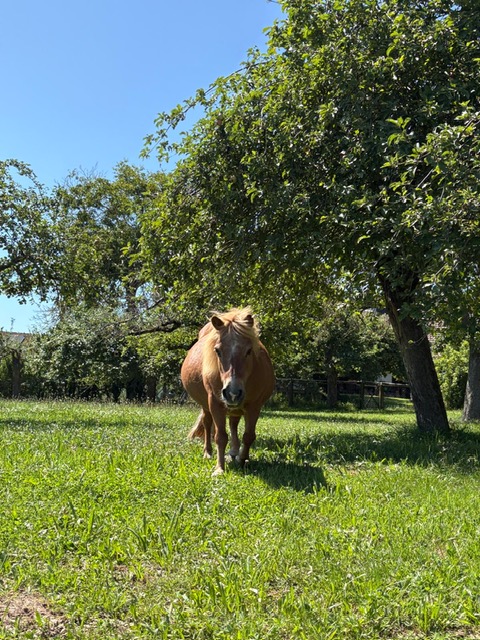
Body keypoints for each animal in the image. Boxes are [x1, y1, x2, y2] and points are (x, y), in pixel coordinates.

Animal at [181, 307, 275, 475]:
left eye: (249, 350)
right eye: (217, 351)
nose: (232, 393)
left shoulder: (254, 406)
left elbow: (248, 436)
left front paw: (242, 460)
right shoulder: (216, 404)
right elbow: (220, 437)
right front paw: (219, 468)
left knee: (233, 423)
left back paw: (234, 452)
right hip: (207, 406)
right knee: (207, 423)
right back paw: (208, 452)